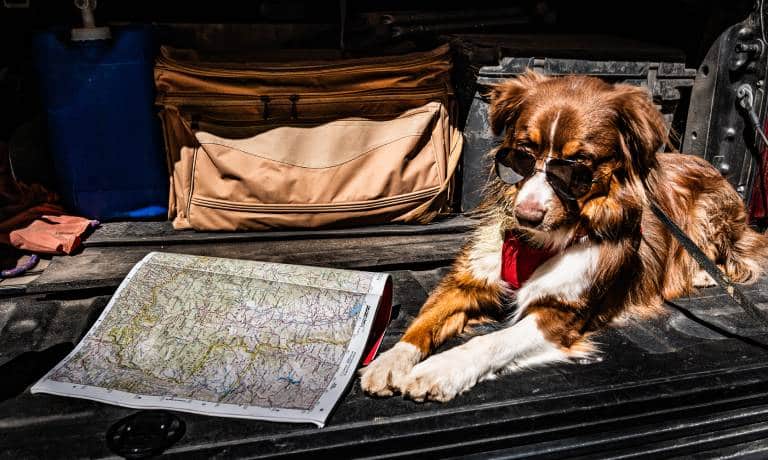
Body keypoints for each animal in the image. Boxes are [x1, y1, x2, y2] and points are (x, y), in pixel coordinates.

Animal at [358, 69, 768, 402]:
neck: (544, 240)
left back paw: (705, 274)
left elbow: (491, 341)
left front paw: (441, 370)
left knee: (740, 254)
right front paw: (390, 362)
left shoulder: (561, 312)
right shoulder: (467, 281)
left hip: (710, 211)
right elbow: (423, 321)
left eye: (576, 166)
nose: (526, 215)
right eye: (523, 154)